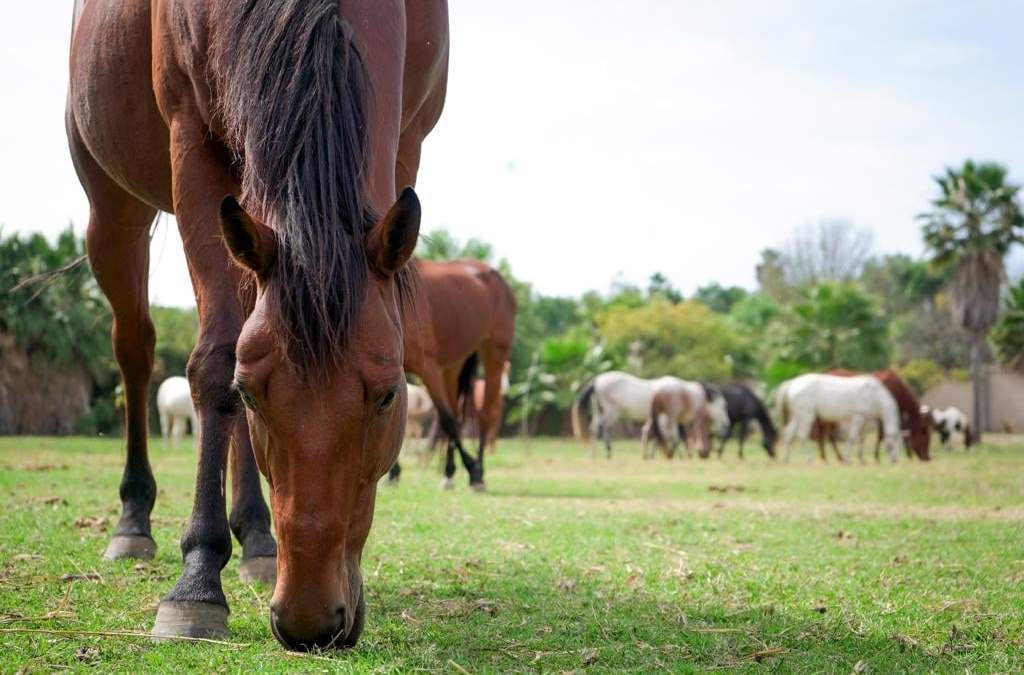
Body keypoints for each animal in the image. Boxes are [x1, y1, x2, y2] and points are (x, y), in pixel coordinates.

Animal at [69, 0, 448, 649]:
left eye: (388, 396)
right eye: (249, 395)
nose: (309, 622)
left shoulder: (406, 140)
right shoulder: (192, 138)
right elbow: (216, 361)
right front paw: (197, 583)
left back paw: (257, 538)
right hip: (115, 209)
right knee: (134, 349)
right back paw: (134, 521)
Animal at [390, 259, 516, 490]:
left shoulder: (429, 368)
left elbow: (447, 419)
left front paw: (472, 470)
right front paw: (393, 473)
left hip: (494, 354)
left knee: (483, 416)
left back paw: (479, 474)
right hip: (452, 367)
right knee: (457, 415)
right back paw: (448, 473)